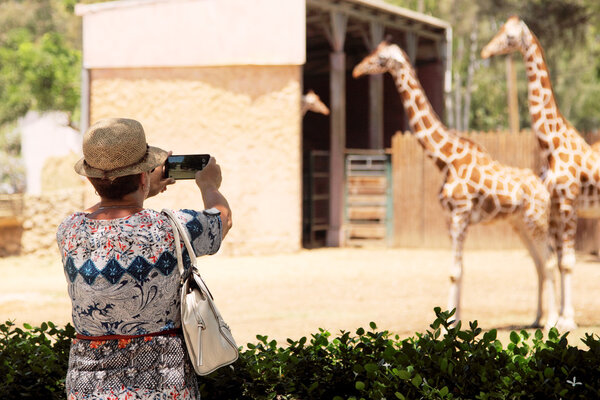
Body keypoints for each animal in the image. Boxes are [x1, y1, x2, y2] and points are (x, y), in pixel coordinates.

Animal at [352, 39, 556, 328]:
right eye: (372, 53)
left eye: (380, 59)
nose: (357, 70)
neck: (446, 159)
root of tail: (543, 188)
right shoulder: (450, 219)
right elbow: (461, 271)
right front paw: (454, 321)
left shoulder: (460, 215)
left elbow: (454, 271)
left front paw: (449, 324)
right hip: (520, 224)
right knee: (538, 263)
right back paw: (537, 318)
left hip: (537, 220)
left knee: (549, 262)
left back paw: (554, 321)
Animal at [478, 15, 596, 330]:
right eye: (498, 30)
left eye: (509, 37)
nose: (484, 52)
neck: (551, 144)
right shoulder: (554, 208)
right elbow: (555, 260)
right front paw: (557, 318)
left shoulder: (568, 204)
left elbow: (566, 261)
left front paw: (567, 320)